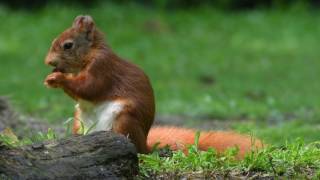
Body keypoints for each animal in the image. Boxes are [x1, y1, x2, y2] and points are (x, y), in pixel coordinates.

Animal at [43, 14, 262, 157]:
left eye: (68, 45)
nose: (48, 62)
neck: (91, 54)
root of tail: (146, 144)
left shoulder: (103, 68)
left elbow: (89, 87)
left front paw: (57, 78)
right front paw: (52, 77)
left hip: (124, 119)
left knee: (136, 149)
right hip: (78, 121)